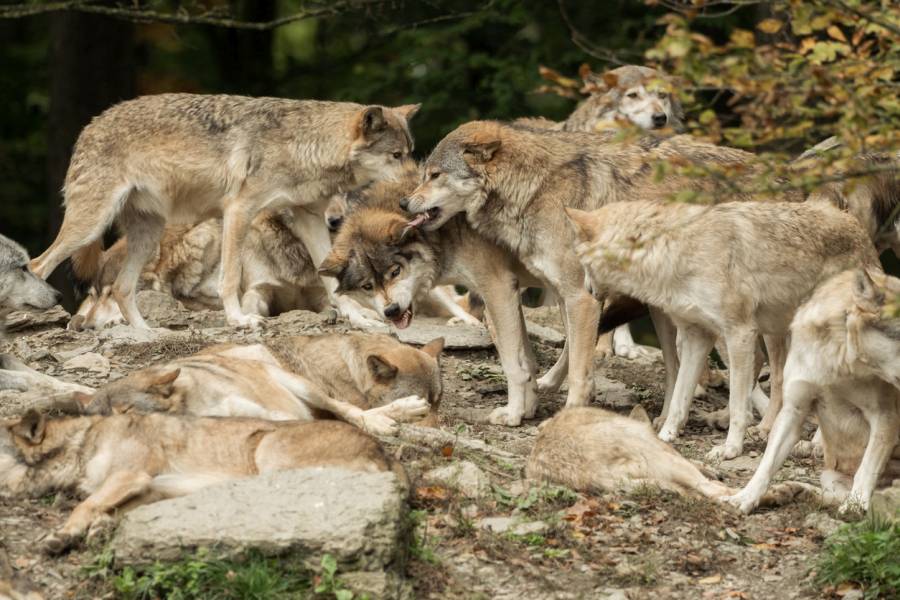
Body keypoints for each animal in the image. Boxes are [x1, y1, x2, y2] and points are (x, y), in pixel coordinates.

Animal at [0, 408, 400, 552]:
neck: (80, 445)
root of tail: (386, 454)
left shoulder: (131, 474)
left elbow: (85, 505)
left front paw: (62, 535)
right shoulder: (152, 487)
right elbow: (110, 509)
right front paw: (99, 529)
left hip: (268, 452)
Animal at [29, 94, 420, 330]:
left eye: (410, 152)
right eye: (396, 156)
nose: (411, 193)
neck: (304, 145)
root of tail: (89, 126)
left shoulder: (308, 219)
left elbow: (331, 282)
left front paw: (360, 318)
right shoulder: (238, 211)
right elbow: (229, 278)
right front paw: (238, 320)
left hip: (146, 235)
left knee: (122, 289)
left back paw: (148, 333)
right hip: (90, 227)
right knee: (37, 266)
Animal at [568, 200, 880, 460]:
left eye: (582, 264)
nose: (587, 291)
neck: (675, 251)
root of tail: (857, 227)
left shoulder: (739, 334)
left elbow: (737, 405)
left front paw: (730, 449)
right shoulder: (696, 336)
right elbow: (680, 396)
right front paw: (665, 435)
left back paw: (814, 444)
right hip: (780, 334)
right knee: (781, 381)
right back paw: (767, 430)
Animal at [724, 270, 900, 512]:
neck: (837, 361)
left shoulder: (884, 416)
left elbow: (866, 469)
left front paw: (854, 507)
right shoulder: (794, 410)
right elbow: (766, 465)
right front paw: (744, 497)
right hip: (829, 475)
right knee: (829, 497)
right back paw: (789, 491)